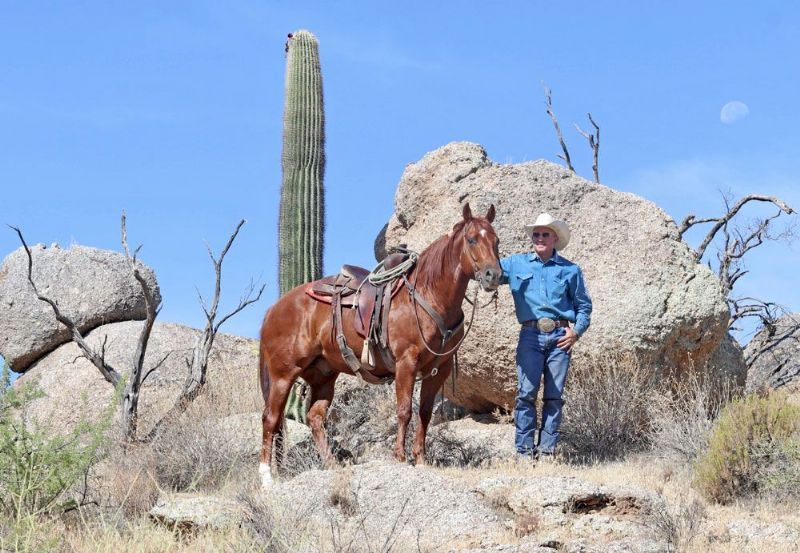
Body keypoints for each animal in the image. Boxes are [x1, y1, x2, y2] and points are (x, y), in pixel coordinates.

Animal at [258, 203, 501, 488]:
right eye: (472, 239)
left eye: (496, 241)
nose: (494, 275)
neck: (428, 296)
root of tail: (274, 309)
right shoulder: (406, 363)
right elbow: (404, 410)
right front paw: (400, 457)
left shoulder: (438, 371)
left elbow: (425, 413)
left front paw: (421, 459)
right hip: (283, 374)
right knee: (271, 418)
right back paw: (266, 477)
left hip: (323, 376)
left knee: (314, 418)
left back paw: (331, 465)